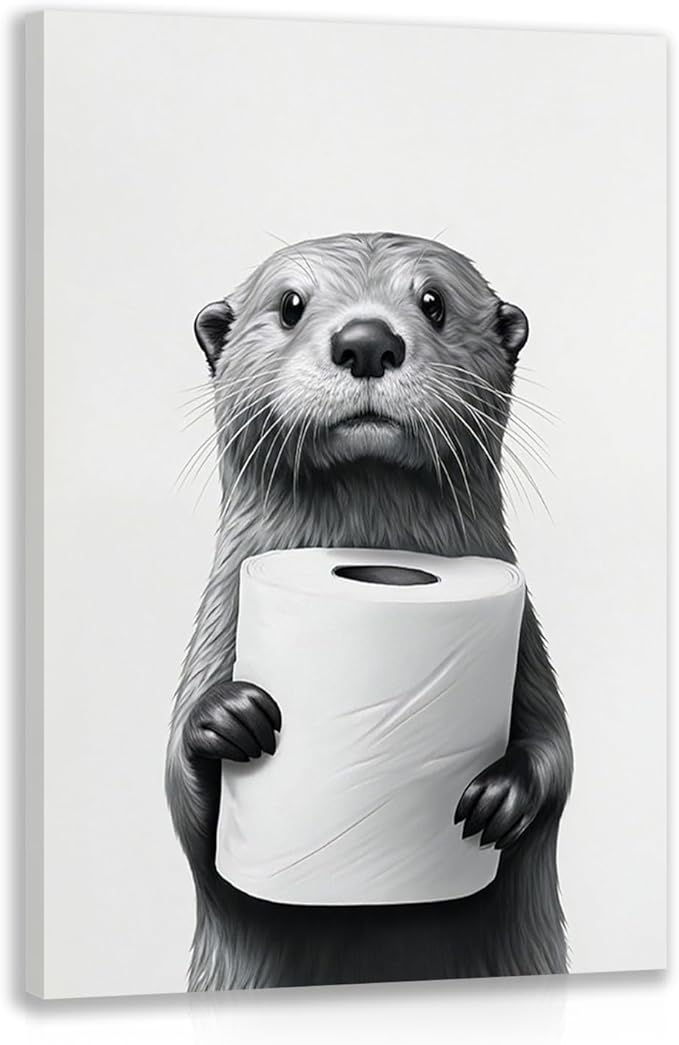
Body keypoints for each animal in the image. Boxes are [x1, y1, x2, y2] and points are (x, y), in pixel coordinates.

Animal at [166, 232, 573, 990]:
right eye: (290, 304)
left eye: (433, 301)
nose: (366, 341)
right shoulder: (216, 626)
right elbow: (183, 802)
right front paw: (226, 718)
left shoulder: (528, 645)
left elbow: (558, 754)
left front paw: (501, 796)